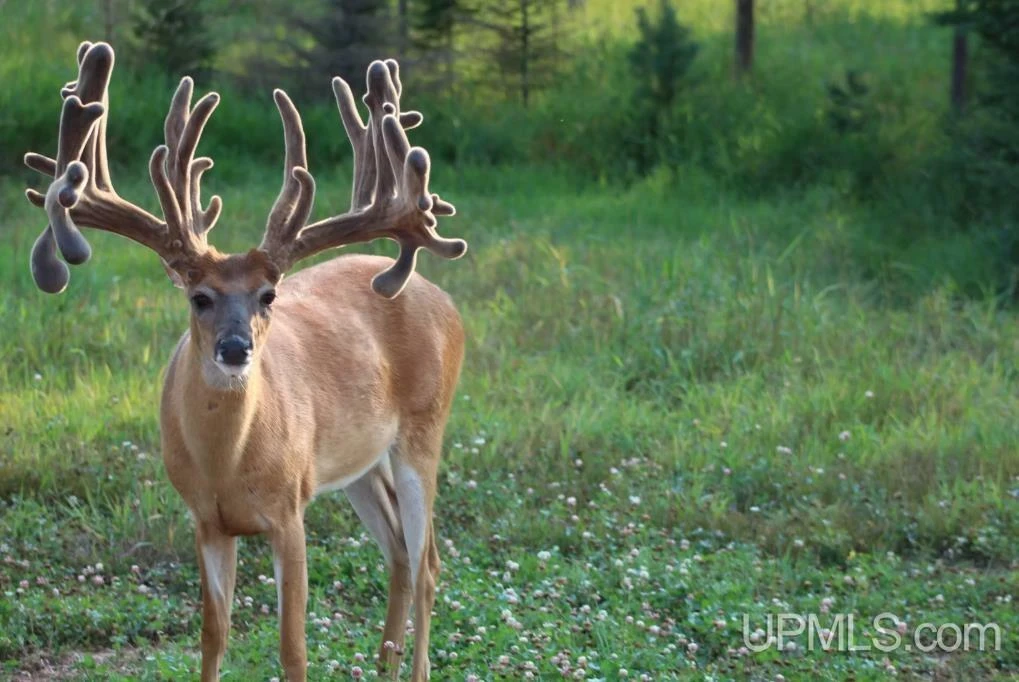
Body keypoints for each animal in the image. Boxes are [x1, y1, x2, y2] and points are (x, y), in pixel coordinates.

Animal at [22, 41, 467, 682]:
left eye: (269, 295)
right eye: (198, 296)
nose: (236, 349)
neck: (228, 463)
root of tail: (444, 299)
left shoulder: (289, 511)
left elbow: (292, 647)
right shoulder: (206, 520)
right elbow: (214, 634)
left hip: (424, 429)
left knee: (429, 560)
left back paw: (415, 669)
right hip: (359, 463)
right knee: (402, 555)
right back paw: (384, 664)